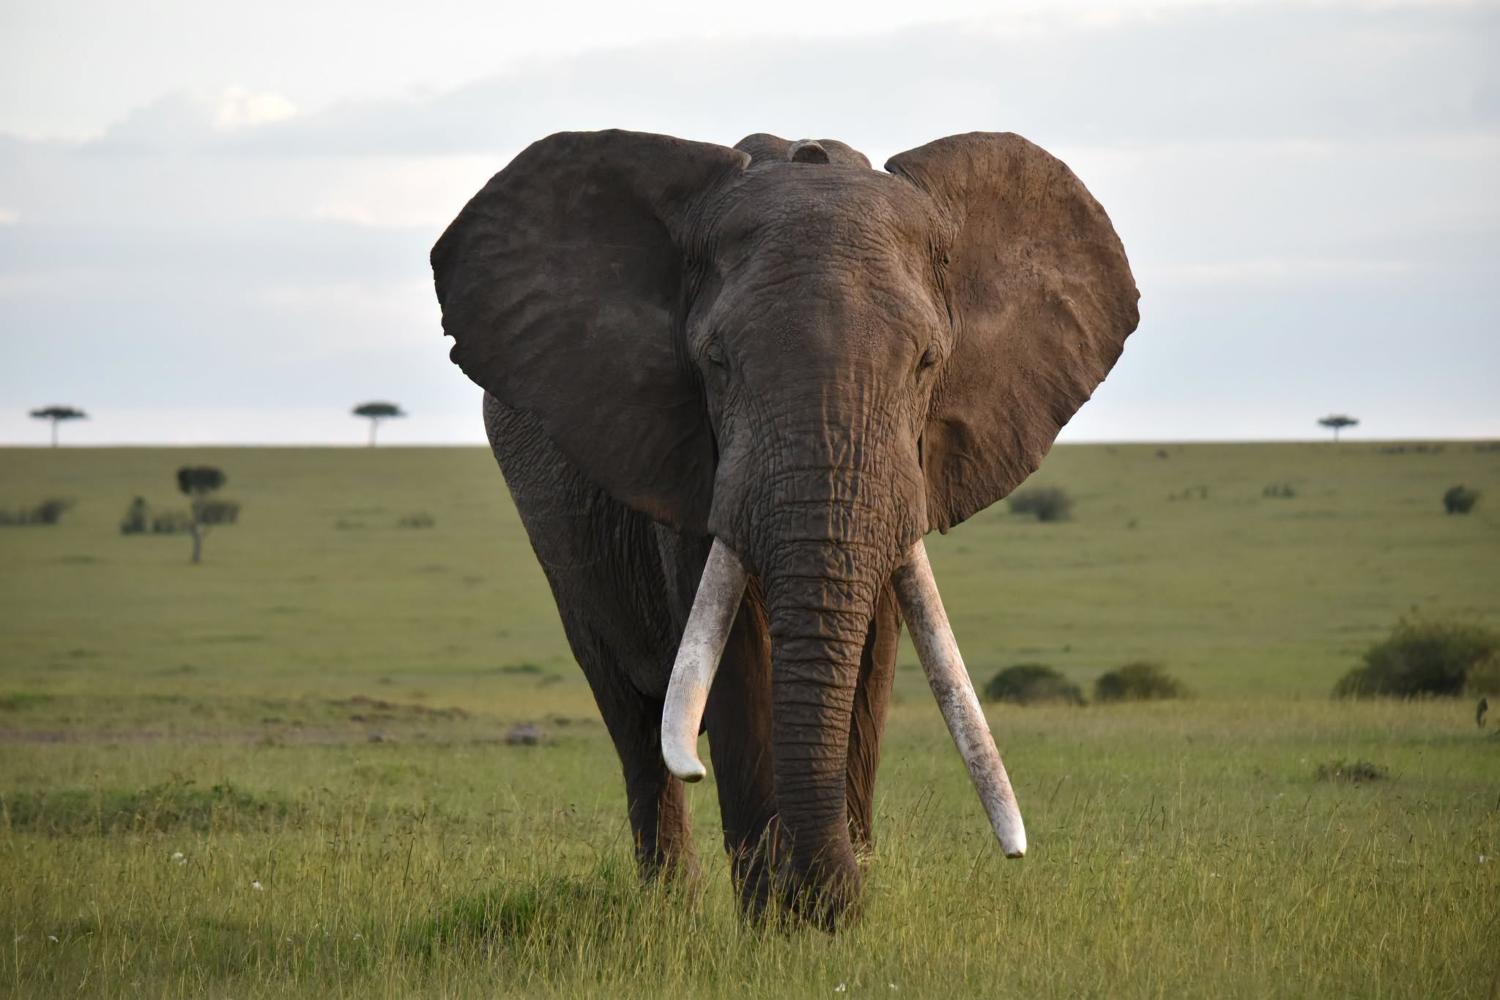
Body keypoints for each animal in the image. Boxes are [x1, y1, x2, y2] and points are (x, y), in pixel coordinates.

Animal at [431, 128, 1139, 927]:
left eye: (928, 362)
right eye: (716, 361)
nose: (832, 898)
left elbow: (874, 646)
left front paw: (836, 911)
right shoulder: (689, 463)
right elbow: (737, 656)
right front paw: (780, 923)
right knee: (631, 719)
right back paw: (671, 913)